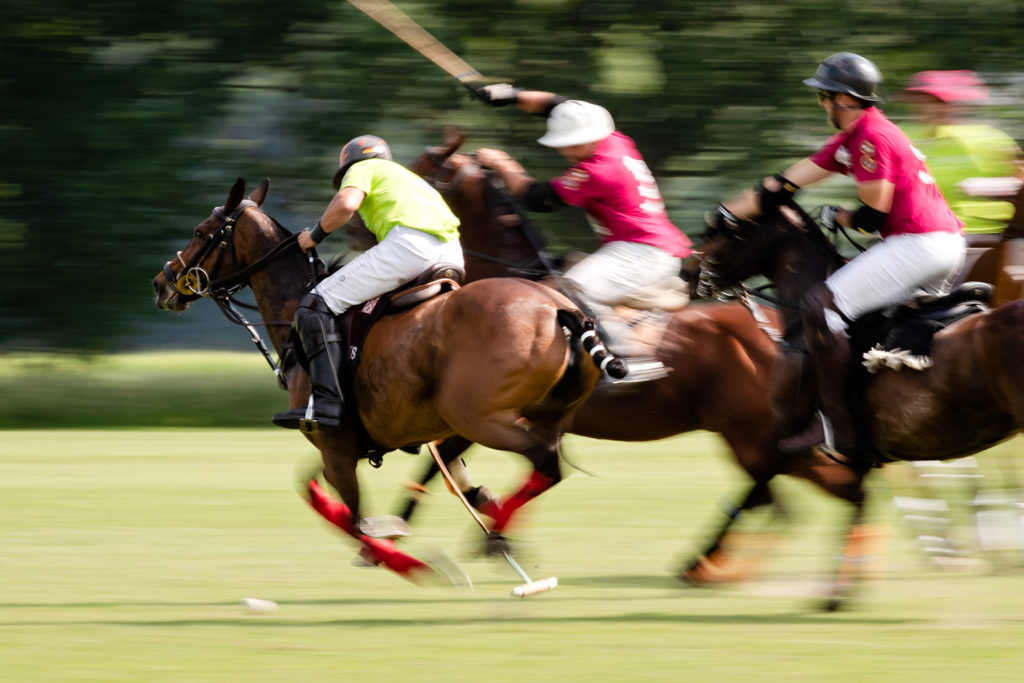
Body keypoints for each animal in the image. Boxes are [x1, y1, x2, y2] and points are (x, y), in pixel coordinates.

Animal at [149, 175, 610, 581]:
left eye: (201, 231)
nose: (161, 283)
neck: (294, 305)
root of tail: (558, 310)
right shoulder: (362, 440)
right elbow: (321, 489)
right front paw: (469, 508)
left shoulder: (333, 441)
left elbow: (350, 517)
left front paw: (408, 562)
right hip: (531, 414)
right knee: (545, 462)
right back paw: (496, 536)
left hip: (479, 417)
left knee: (544, 460)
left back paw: (490, 541)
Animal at [401, 129, 872, 602]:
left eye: (419, 171)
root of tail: (781, 328)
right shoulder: (485, 413)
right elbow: (447, 464)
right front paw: (484, 512)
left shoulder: (488, 411)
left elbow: (441, 462)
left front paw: (408, 533)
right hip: (761, 436)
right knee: (798, 496)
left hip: (751, 435)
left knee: (790, 493)